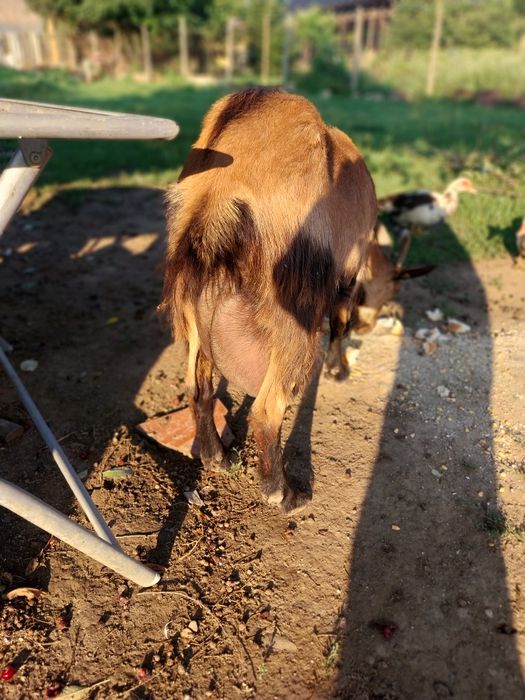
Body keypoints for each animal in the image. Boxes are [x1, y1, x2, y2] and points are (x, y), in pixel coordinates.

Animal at [161, 87, 377, 512]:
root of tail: (218, 190)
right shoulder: (347, 275)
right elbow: (340, 323)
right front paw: (338, 369)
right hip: (292, 313)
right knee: (266, 409)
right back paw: (285, 493)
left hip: (192, 300)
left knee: (198, 386)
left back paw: (216, 457)